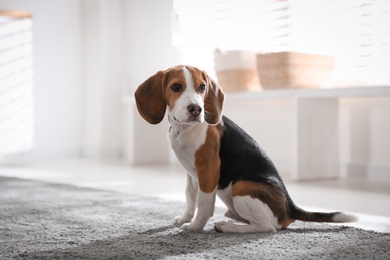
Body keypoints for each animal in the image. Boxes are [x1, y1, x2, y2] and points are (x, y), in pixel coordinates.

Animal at [134, 65, 356, 234]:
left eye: (202, 87)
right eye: (176, 87)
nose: (196, 109)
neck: (184, 129)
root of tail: (289, 206)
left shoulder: (208, 168)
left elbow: (203, 203)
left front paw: (195, 226)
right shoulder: (191, 172)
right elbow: (190, 196)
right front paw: (184, 218)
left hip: (241, 187)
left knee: (267, 227)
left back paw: (228, 227)